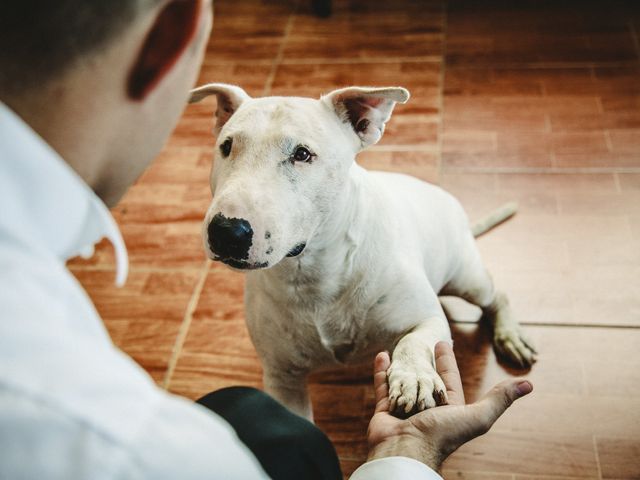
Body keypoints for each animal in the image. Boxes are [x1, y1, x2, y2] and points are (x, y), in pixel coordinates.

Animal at [189, 83, 536, 420]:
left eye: (302, 154)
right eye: (226, 147)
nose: (226, 231)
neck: (314, 269)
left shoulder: (428, 318)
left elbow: (415, 339)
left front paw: (413, 378)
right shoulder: (282, 379)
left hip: (467, 278)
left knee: (496, 296)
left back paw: (510, 336)